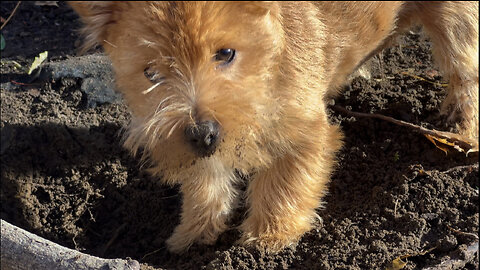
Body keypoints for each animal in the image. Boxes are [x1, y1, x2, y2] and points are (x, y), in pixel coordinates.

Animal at [69, 1, 478, 253]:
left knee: (465, 68)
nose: (203, 133)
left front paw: (269, 237)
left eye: (226, 53)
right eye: (151, 73)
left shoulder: (302, 129)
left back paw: (464, 136)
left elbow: (285, 180)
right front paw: (193, 234)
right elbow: (205, 181)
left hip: (456, 18)